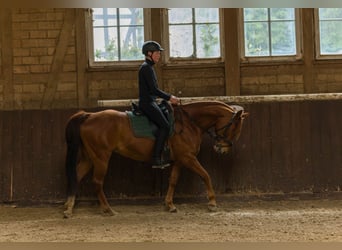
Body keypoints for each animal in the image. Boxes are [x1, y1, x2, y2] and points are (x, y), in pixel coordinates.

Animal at [62, 100, 248, 218]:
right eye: (235, 127)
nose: (222, 149)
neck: (190, 123)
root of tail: (88, 115)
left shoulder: (180, 159)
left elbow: (173, 180)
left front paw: (170, 205)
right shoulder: (188, 157)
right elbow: (206, 175)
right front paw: (212, 203)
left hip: (89, 157)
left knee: (76, 176)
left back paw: (68, 208)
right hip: (101, 157)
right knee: (97, 182)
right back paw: (108, 210)